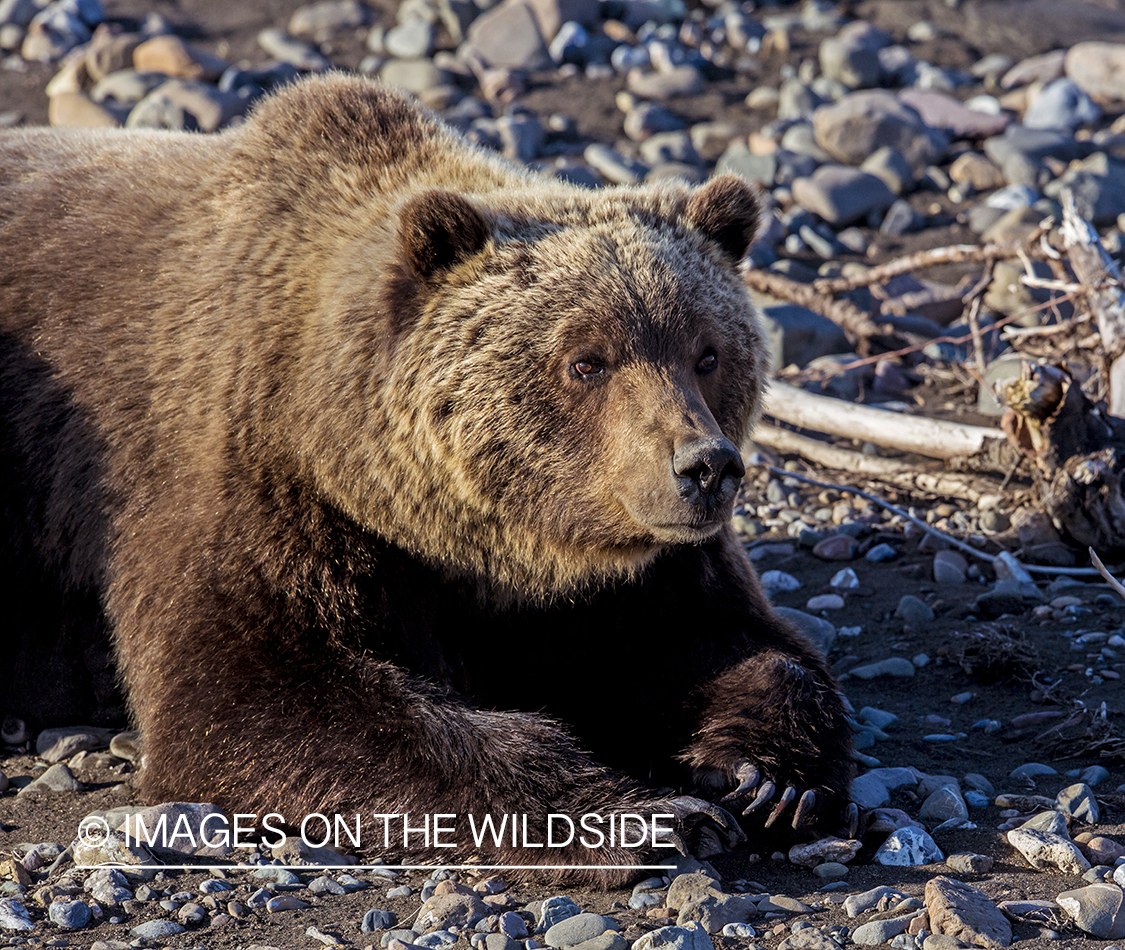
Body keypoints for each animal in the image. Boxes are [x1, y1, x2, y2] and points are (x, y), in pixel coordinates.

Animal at [0, 74, 854, 880]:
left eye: (706, 351)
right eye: (586, 360)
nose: (704, 466)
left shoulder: (617, 574)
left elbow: (729, 642)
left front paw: (761, 776)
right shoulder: (239, 484)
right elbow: (253, 698)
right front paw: (647, 815)